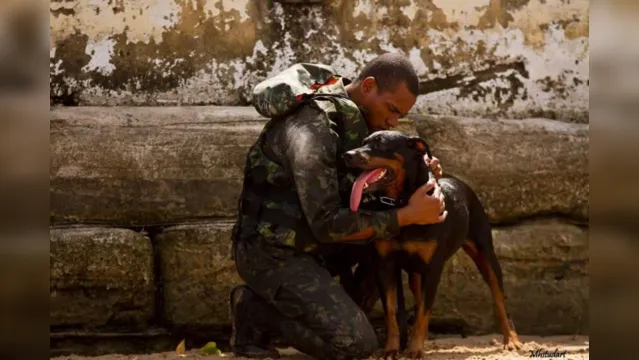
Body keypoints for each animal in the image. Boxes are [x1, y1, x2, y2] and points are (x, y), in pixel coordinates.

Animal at [340, 131, 524, 358]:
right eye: (364, 142)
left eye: (381, 144)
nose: (347, 155)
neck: (402, 201)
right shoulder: (385, 266)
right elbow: (391, 312)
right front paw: (392, 348)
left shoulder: (433, 268)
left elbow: (423, 311)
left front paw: (415, 349)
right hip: (415, 275)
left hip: (486, 254)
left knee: (499, 299)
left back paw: (511, 340)